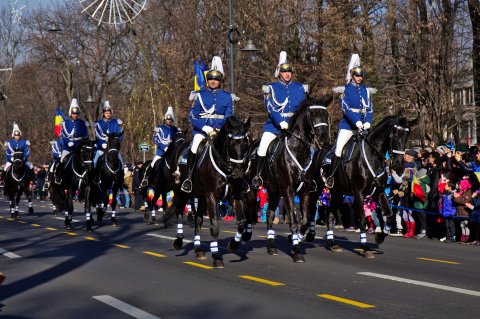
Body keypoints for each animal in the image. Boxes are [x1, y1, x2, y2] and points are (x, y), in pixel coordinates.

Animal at [166, 116, 251, 268]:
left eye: (246, 144)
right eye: (231, 144)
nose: (238, 174)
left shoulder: (234, 195)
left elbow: (242, 222)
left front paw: (233, 245)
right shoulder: (211, 195)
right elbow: (214, 226)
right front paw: (216, 256)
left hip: (200, 196)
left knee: (198, 219)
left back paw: (198, 249)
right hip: (181, 193)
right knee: (180, 212)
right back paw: (179, 241)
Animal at [238, 97, 332, 262]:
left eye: (326, 115)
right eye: (314, 114)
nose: (324, 140)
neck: (298, 151)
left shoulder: (304, 192)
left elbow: (304, 221)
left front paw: (296, 238)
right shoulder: (288, 191)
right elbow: (293, 222)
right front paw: (296, 251)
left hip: (274, 192)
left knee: (269, 215)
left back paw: (271, 246)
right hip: (251, 188)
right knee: (250, 209)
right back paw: (247, 234)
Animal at [318, 115, 416, 258]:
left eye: (407, 135)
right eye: (395, 134)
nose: (398, 166)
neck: (371, 156)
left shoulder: (379, 192)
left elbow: (389, 216)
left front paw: (379, 237)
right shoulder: (358, 193)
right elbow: (363, 220)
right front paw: (364, 247)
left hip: (338, 193)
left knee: (330, 213)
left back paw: (332, 243)